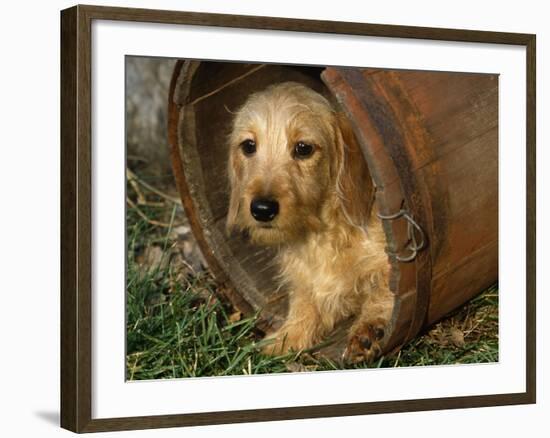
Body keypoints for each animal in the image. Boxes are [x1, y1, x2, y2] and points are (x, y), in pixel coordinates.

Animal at [226, 82, 394, 362]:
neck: (322, 235)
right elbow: (305, 304)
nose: (262, 209)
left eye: (303, 148)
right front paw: (285, 338)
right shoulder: (305, 281)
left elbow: (384, 287)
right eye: (249, 146)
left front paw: (370, 327)